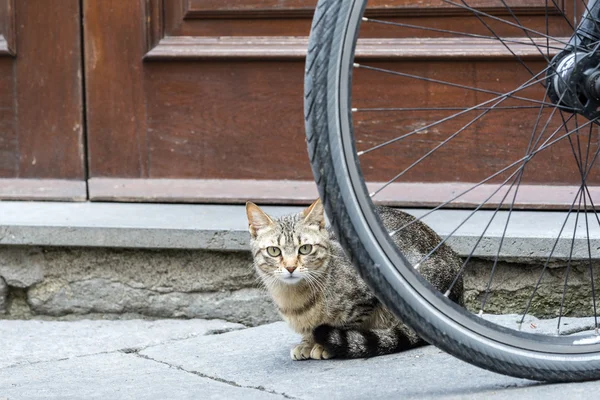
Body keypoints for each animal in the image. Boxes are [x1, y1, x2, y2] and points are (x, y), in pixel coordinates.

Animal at [246, 200, 462, 360]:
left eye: (305, 248)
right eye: (274, 251)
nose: (290, 267)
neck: (294, 299)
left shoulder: (366, 298)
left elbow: (346, 324)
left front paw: (323, 346)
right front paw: (306, 343)